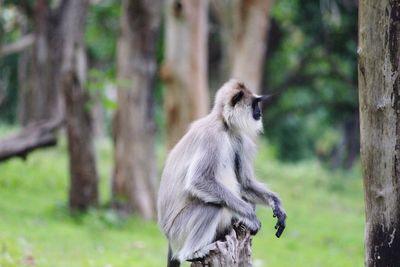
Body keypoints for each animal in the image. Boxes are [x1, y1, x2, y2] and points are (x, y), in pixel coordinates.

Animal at [158, 78, 286, 266]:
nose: (259, 113)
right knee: (213, 205)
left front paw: (277, 205)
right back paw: (193, 253)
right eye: (255, 104)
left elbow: (245, 184)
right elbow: (199, 180)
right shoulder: (211, 137)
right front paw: (251, 216)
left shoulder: (237, 138)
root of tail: (168, 237)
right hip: (178, 229)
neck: (224, 124)